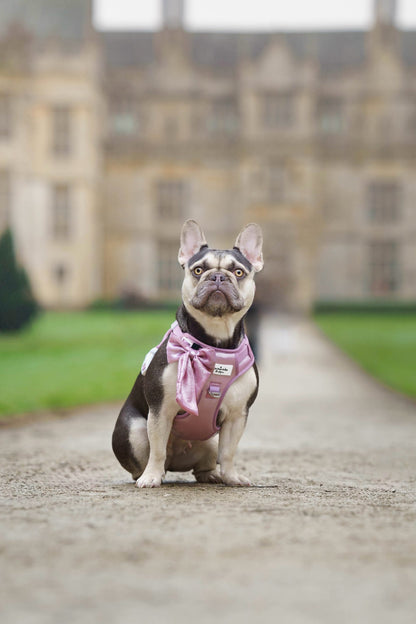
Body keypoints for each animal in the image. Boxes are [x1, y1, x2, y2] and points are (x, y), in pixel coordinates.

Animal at [111, 219, 264, 488]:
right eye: (198, 270)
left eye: (238, 273)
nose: (217, 276)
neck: (214, 342)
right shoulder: (161, 410)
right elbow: (157, 448)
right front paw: (151, 477)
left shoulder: (237, 416)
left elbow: (229, 452)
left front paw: (232, 477)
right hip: (135, 429)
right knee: (151, 456)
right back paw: (151, 474)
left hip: (209, 440)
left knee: (206, 463)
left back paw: (213, 475)